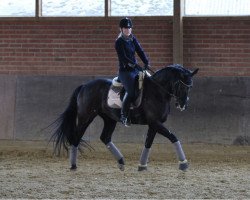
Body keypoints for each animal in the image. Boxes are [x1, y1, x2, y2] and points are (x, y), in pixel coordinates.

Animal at [51, 65, 198, 171]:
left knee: (105, 137)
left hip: (109, 119)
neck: (157, 91)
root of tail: (84, 86)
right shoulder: (155, 123)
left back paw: (121, 162)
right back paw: (73, 166)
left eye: (191, 87)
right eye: (181, 85)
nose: (183, 105)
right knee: (76, 137)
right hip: (85, 117)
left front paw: (142, 166)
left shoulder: (154, 124)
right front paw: (183, 164)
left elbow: (148, 143)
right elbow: (173, 137)